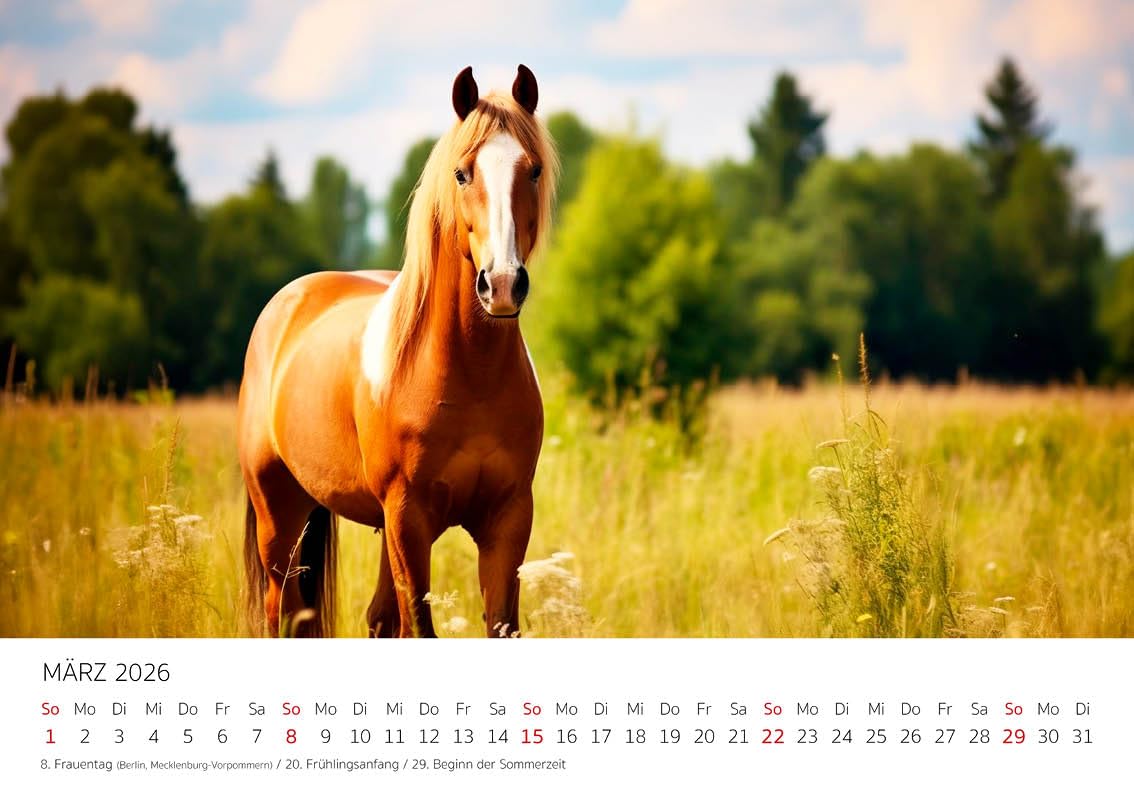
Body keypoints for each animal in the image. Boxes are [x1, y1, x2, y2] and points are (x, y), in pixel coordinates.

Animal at [238, 65, 558, 638]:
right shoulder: (409, 518)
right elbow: (420, 626)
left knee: (373, 618)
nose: (501, 285)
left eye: (535, 170)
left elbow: (498, 622)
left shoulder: (508, 519)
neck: (468, 374)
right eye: (462, 174)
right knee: (283, 612)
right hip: (280, 518)